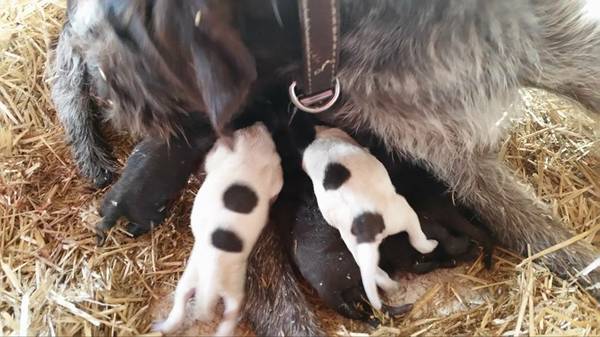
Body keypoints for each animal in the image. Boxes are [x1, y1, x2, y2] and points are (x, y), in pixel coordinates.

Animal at [155, 122, 286, 334]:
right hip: (227, 284)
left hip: (196, 276)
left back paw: (161, 326)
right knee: (229, 313)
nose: (259, 123)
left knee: (183, 302)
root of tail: (211, 284)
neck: (251, 149)